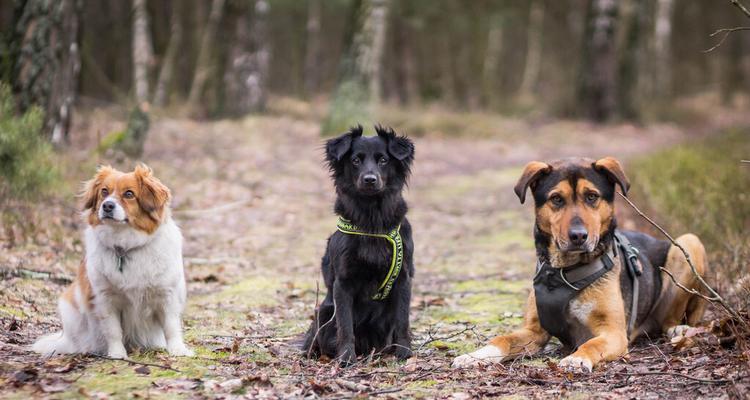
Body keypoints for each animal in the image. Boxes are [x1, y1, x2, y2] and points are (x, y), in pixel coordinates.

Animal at [33, 164, 195, 358]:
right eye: (104, 191)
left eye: (129, 194)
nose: (107, 205)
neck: (125, 247)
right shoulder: (106, 299)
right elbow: (113, 330)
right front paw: (117, 354)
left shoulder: (167, 296)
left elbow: (171, 327)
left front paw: (177, 350)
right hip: (70, 308)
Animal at [302, 125, 418, 366]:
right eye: (355, 160)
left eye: (383, 160)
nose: (370, 179)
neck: (372, 220)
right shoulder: (343, 283)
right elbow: (345, 325)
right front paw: (346, 357)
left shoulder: (403, 278)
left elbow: (403, 319)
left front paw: (404, 352)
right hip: (324, 311)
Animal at [456, 156, 708, 372]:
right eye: (556, 199)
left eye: (592, 196)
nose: (578, 236)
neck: (564, 273)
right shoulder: (534, 331)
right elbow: (502, 339)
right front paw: (475, 355)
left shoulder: (613, 333)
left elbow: (592, 344)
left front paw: (576, 359)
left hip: (690, 242)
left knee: (671, 319)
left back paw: (678, 328)